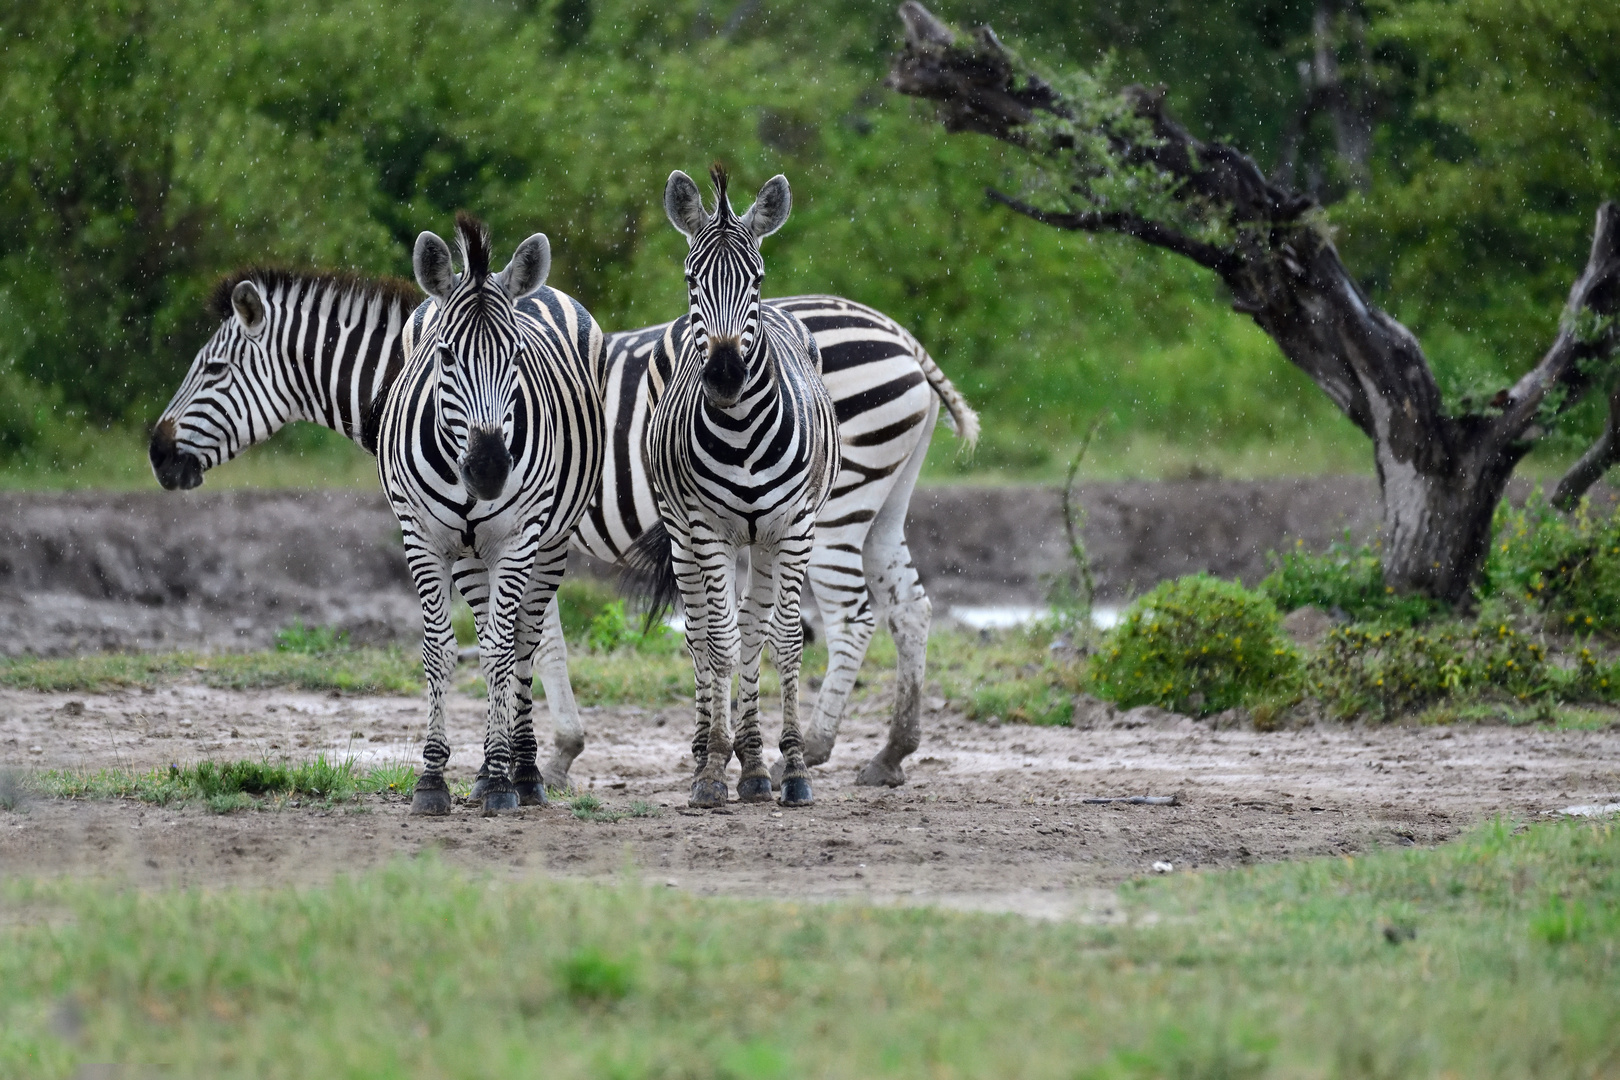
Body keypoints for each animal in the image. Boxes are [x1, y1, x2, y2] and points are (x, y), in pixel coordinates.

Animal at [154, 272, 972, 793]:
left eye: (213, 370)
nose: (157, 456)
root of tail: (900, 335)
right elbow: (537, 637)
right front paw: (544, 755)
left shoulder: (527, 528)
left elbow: (527, 641)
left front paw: (546, 760)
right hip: (882, 502)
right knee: (911, 606)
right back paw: (890, 753)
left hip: (834, 503)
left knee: (854, 614)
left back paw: (828, 745)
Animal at [374, 213, 609, 809]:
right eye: (445, 355)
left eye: (517, 357)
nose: (488, 471)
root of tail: (535, 287)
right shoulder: (422, 538)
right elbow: (440, 651)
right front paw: (432, 779)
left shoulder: (518, 539)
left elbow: (506, 650)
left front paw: (503, 777)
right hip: (469, 556)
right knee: (488, 637)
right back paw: (486, 769)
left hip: (549, 544)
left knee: (523, 639)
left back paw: (520, 772)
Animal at [635, 166, 842, 809]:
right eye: (690, 279)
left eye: (756, 278)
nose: (725, 376)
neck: (743, 429)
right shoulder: (707, 529)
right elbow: (719, 642)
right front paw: (710, 774)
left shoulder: (795, 527)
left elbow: (785, 641)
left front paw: (790, 767)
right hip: (682, 535)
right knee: (702, 632)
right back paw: (711, 749)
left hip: (766, 540)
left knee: (754, 629)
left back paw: (751, 761)